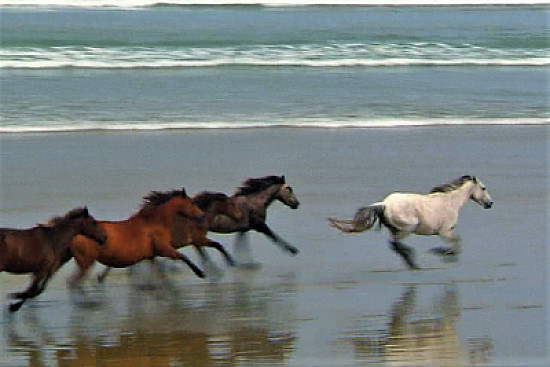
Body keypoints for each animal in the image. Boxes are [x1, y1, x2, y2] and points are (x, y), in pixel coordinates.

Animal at [69, 187, 207, 288]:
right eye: (192, 202)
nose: (202, 215)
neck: (155, 223)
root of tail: (76, 235)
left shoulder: (151, 256)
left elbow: (160, 272)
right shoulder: (164, 249)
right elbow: (183, 257)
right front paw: (200, 273)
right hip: (86, 262)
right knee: (75, 282)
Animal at [98, 191, 245, 280]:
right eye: (232, 204)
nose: (240, 216)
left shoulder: (195, 243)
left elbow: (205, 255)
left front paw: (214, 271)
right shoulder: (199, 240)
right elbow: (217, 247)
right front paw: (229, 264)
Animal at [330, 175, 494, 270]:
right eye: (483, 188)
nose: (490, 203)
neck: (451, 202)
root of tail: (384, 204)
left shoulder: (445, 232)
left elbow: (457, 242)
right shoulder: (444, 231)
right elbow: (457, 242)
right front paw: (444, 253)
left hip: (396, 230)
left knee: (394, 245)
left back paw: (411, 262)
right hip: (406, 229)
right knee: (394, 243)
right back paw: (412, 261)